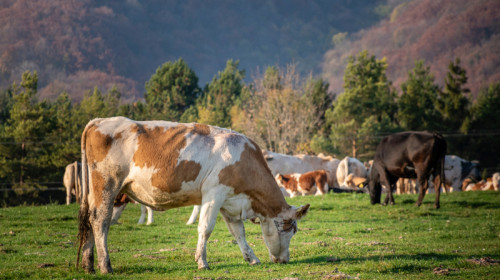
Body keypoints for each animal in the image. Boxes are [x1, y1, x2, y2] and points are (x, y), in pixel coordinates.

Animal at [76, 116, 310, 274]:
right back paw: (105, 265)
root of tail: (99, 121)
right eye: (290, 230)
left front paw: (251, 258)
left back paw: (88, 265)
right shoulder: (214, 193)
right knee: (100, 220)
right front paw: (202, 262)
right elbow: (205, 228)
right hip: (106, 184)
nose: (285, 260)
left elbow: (238, 232)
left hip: (94, 191)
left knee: (89, 220)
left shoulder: (230, 201)